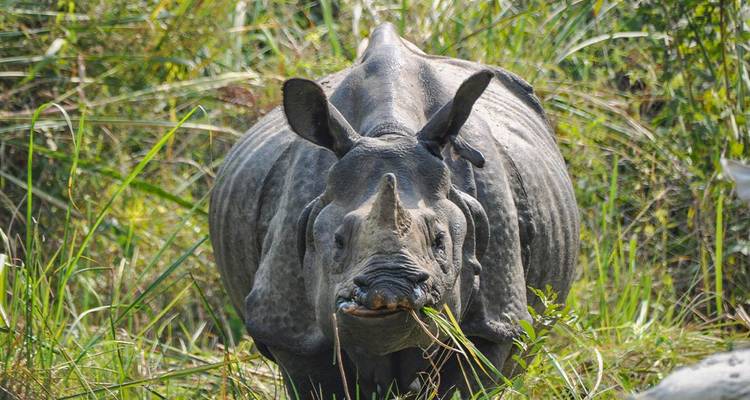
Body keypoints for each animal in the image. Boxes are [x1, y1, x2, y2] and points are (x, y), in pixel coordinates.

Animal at [209, 23, 579, 398]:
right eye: (338, 242)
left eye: (440, 241)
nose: (388, 289)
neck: (390, 134)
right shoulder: (290, 331)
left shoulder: (496, 321)